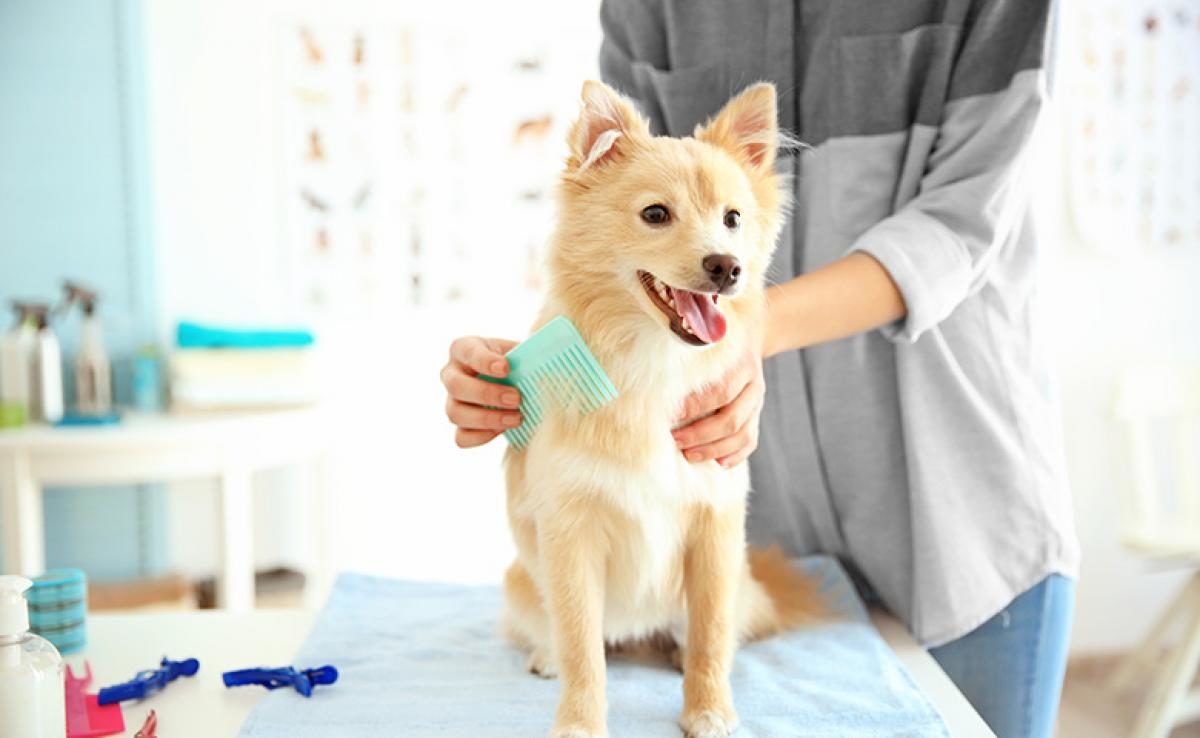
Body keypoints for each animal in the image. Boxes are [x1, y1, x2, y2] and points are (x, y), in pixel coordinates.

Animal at [501, 81, 820, 738]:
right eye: (655, 215)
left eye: (733, 219)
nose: (727, 266)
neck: (653, 364)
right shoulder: (570, 535)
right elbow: (581, 648)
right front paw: (579, 722)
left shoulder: (716, 528)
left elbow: (711, 633)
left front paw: (709, 710)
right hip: (520, 581)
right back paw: (547, 654)